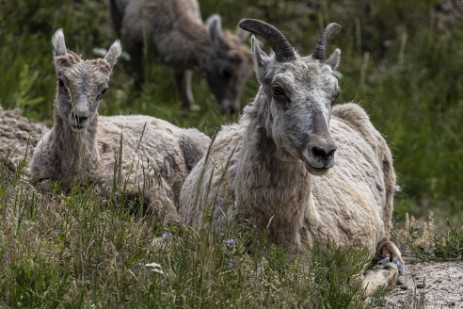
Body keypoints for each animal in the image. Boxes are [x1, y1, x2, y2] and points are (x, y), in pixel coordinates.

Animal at [109, 0, 254, 112]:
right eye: (226, 72)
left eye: (247, 76)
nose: (232, 109)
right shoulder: (132, 36)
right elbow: (139, 80)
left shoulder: (182, 64)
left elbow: (185, 95)